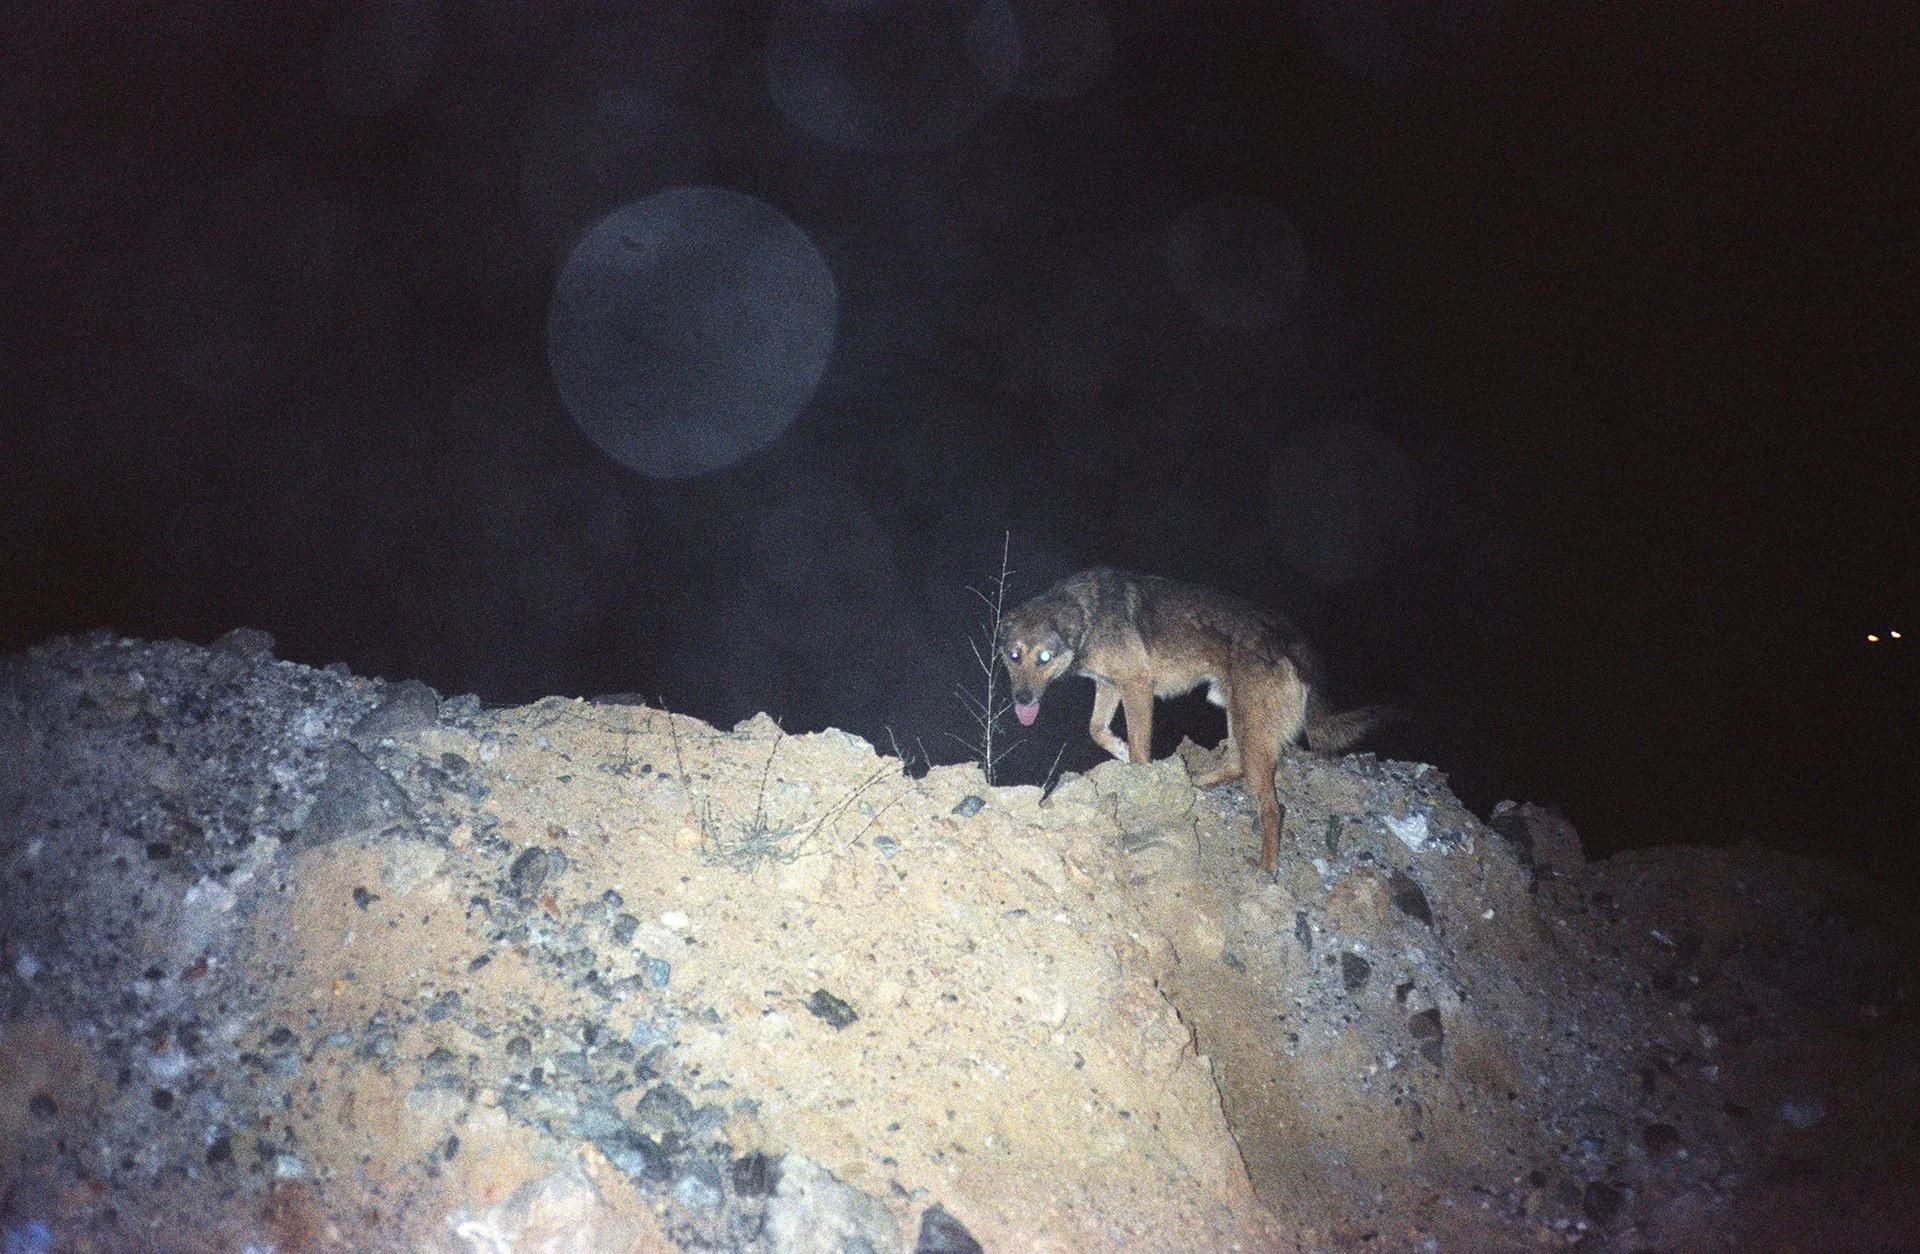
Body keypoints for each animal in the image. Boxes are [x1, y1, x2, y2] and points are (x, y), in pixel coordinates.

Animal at [997, 567, 1392, 874]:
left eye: (1044, 658)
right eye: (1014, 656)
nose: (1022, 700)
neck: (1085, 614)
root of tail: (1297, 644)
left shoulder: (1137, 686)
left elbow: (1138, 747)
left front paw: (1140, 778)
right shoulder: (1109, 685)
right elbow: (1096, 730)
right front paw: (1121, 752)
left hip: (1250, 727)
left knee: (1272, 808)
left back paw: (1266, 868)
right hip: (1236, 714)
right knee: (1234, 765)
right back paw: (1195, 782)